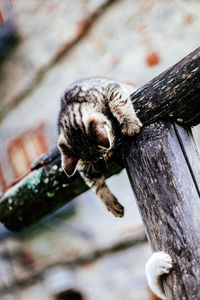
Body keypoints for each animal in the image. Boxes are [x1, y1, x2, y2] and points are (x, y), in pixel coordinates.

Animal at [57, 77, 142, 218]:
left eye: (107, 153)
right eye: (99, 159)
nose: (107, 157)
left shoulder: (111, 88)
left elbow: (118, 101)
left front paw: (130, 124)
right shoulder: (85, 170)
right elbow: (97, 187)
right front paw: (112, 205)